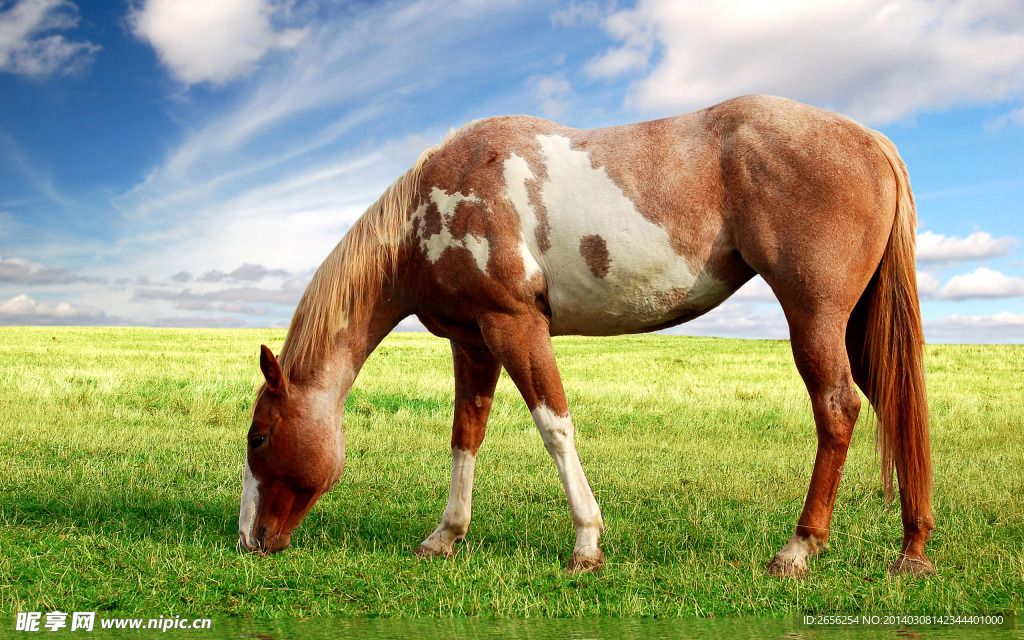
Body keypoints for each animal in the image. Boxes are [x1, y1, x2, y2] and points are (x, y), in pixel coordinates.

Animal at [237, 93, 937, 573]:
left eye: (260, 436)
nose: (248, 540)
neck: (429, 210)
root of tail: (871, 140)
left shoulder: (515, 326)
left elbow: (554, 426)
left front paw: (586, 542)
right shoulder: (473, 341)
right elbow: (466, 436)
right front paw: (446, 536)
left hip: (815, 317)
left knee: (838, 409)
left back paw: (798, 548)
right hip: (858, 328)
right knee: (895, 407)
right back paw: (912, 548)